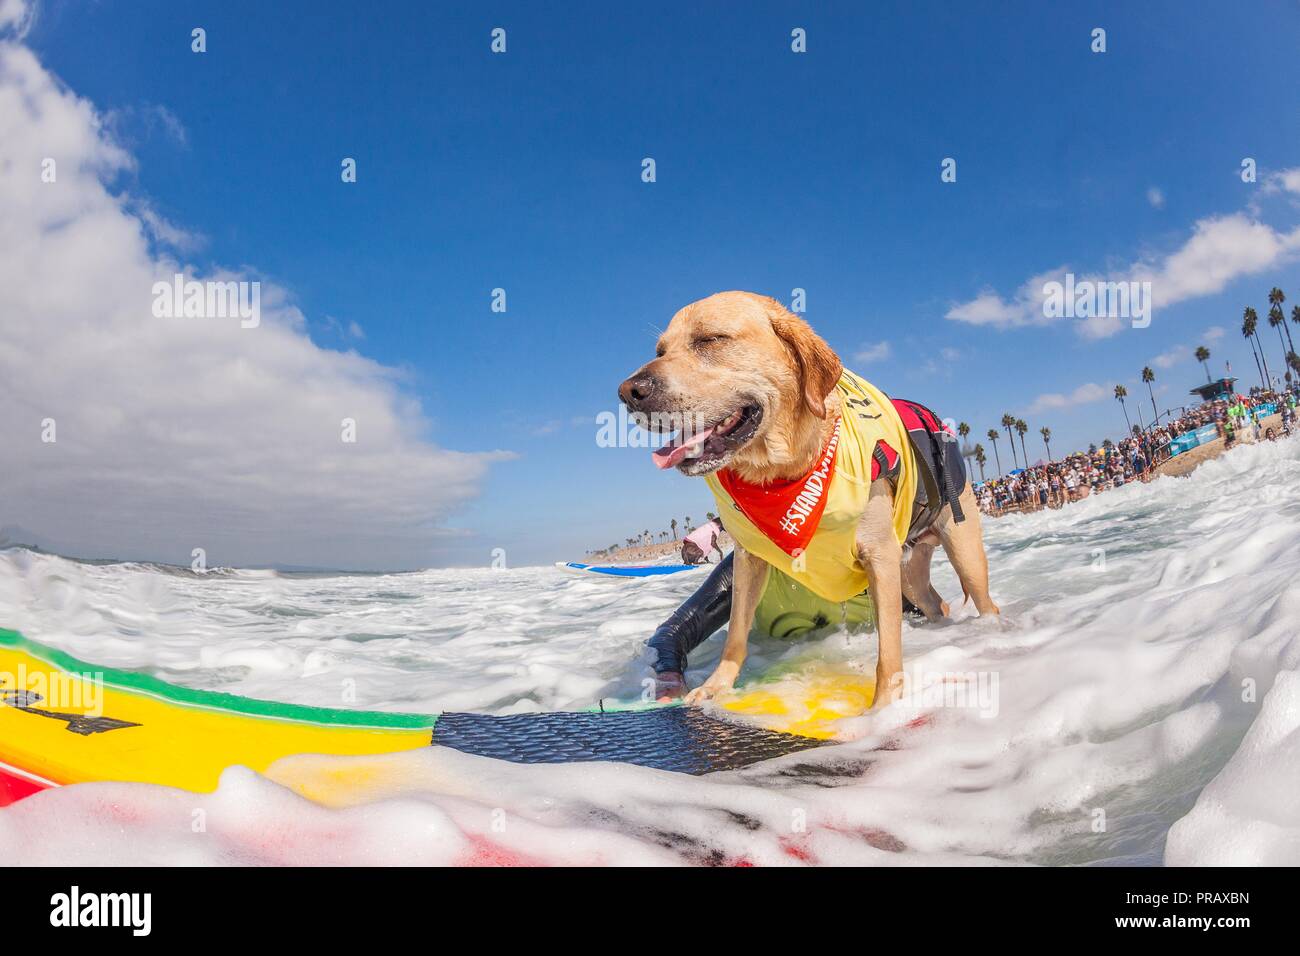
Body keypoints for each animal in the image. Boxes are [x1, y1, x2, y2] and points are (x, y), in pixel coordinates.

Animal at [616, 293, 993, 712]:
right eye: (660, 350)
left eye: (710, 339)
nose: (629, 392)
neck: (785, 473)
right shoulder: (749, 560)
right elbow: (735, 635)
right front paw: (716, 687)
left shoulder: (879, 557)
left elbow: (888, 651)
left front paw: (882, 709)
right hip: (909, 573)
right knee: (936, 603)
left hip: (960, 551)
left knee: (982, 598)